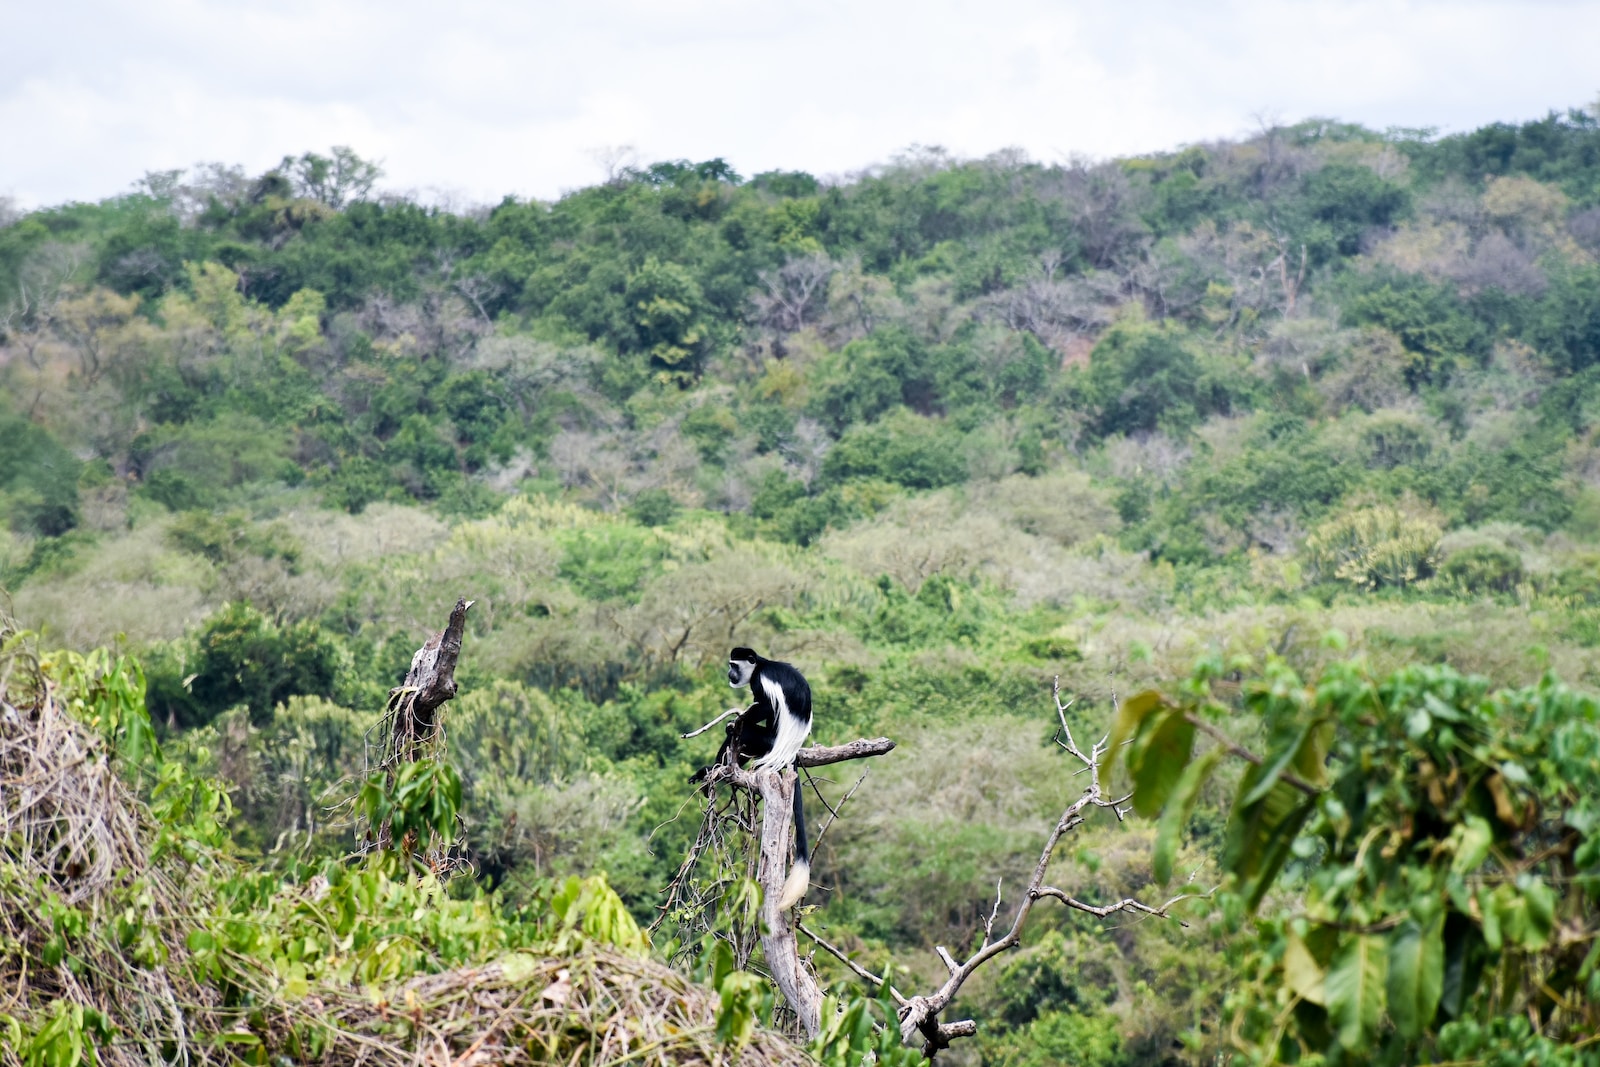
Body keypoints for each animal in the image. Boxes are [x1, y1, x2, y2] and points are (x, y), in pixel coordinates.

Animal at [689, 647, 813, 909]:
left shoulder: (760, 682)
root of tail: (791, 751)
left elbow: (765, 706)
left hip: (767, 741)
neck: (761, 666)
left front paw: (736, 720)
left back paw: (712, 769)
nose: (729, 674)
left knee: (746, 732)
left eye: (734, 666)